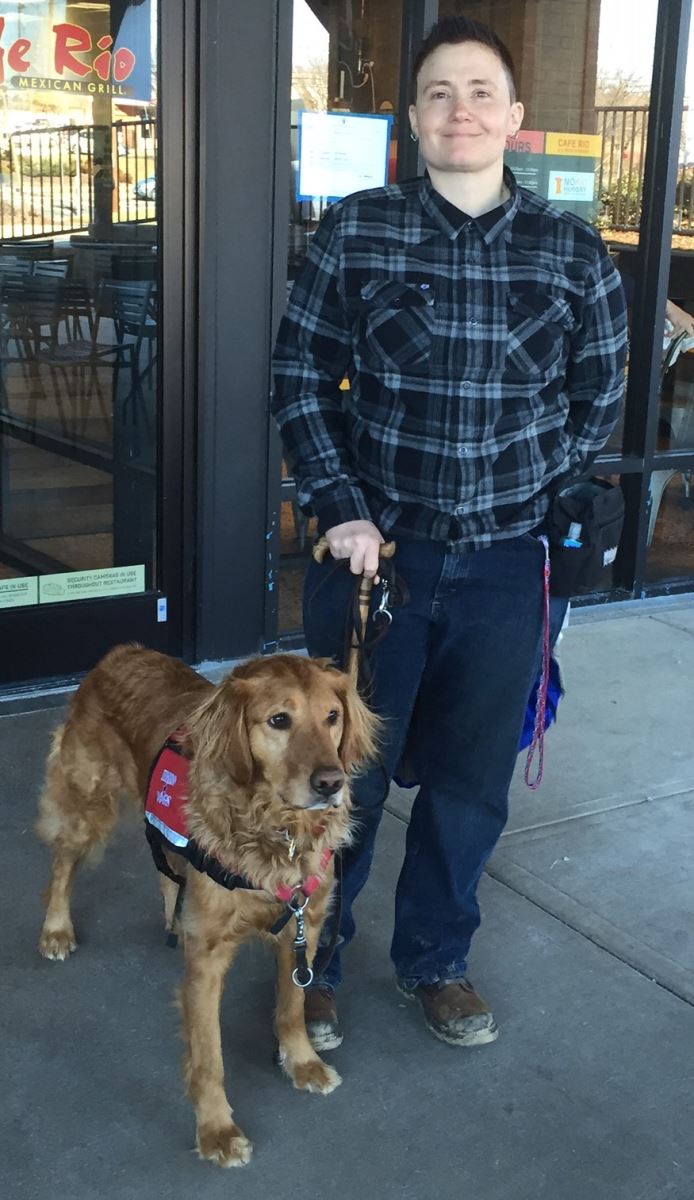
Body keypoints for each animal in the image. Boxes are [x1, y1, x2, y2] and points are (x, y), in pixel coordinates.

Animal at [36, 643, 379, 1166]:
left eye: (332, 717)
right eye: (279, 720)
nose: (331, 783)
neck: (275, 832)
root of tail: (121, 651)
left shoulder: (305, 925)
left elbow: (292, 1007)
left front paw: (302, 1062)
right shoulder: (208, 961)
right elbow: (209, 1055)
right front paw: (216, 1129)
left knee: (165, 866)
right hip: (87, 802)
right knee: (62, 863)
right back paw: (56, 928)